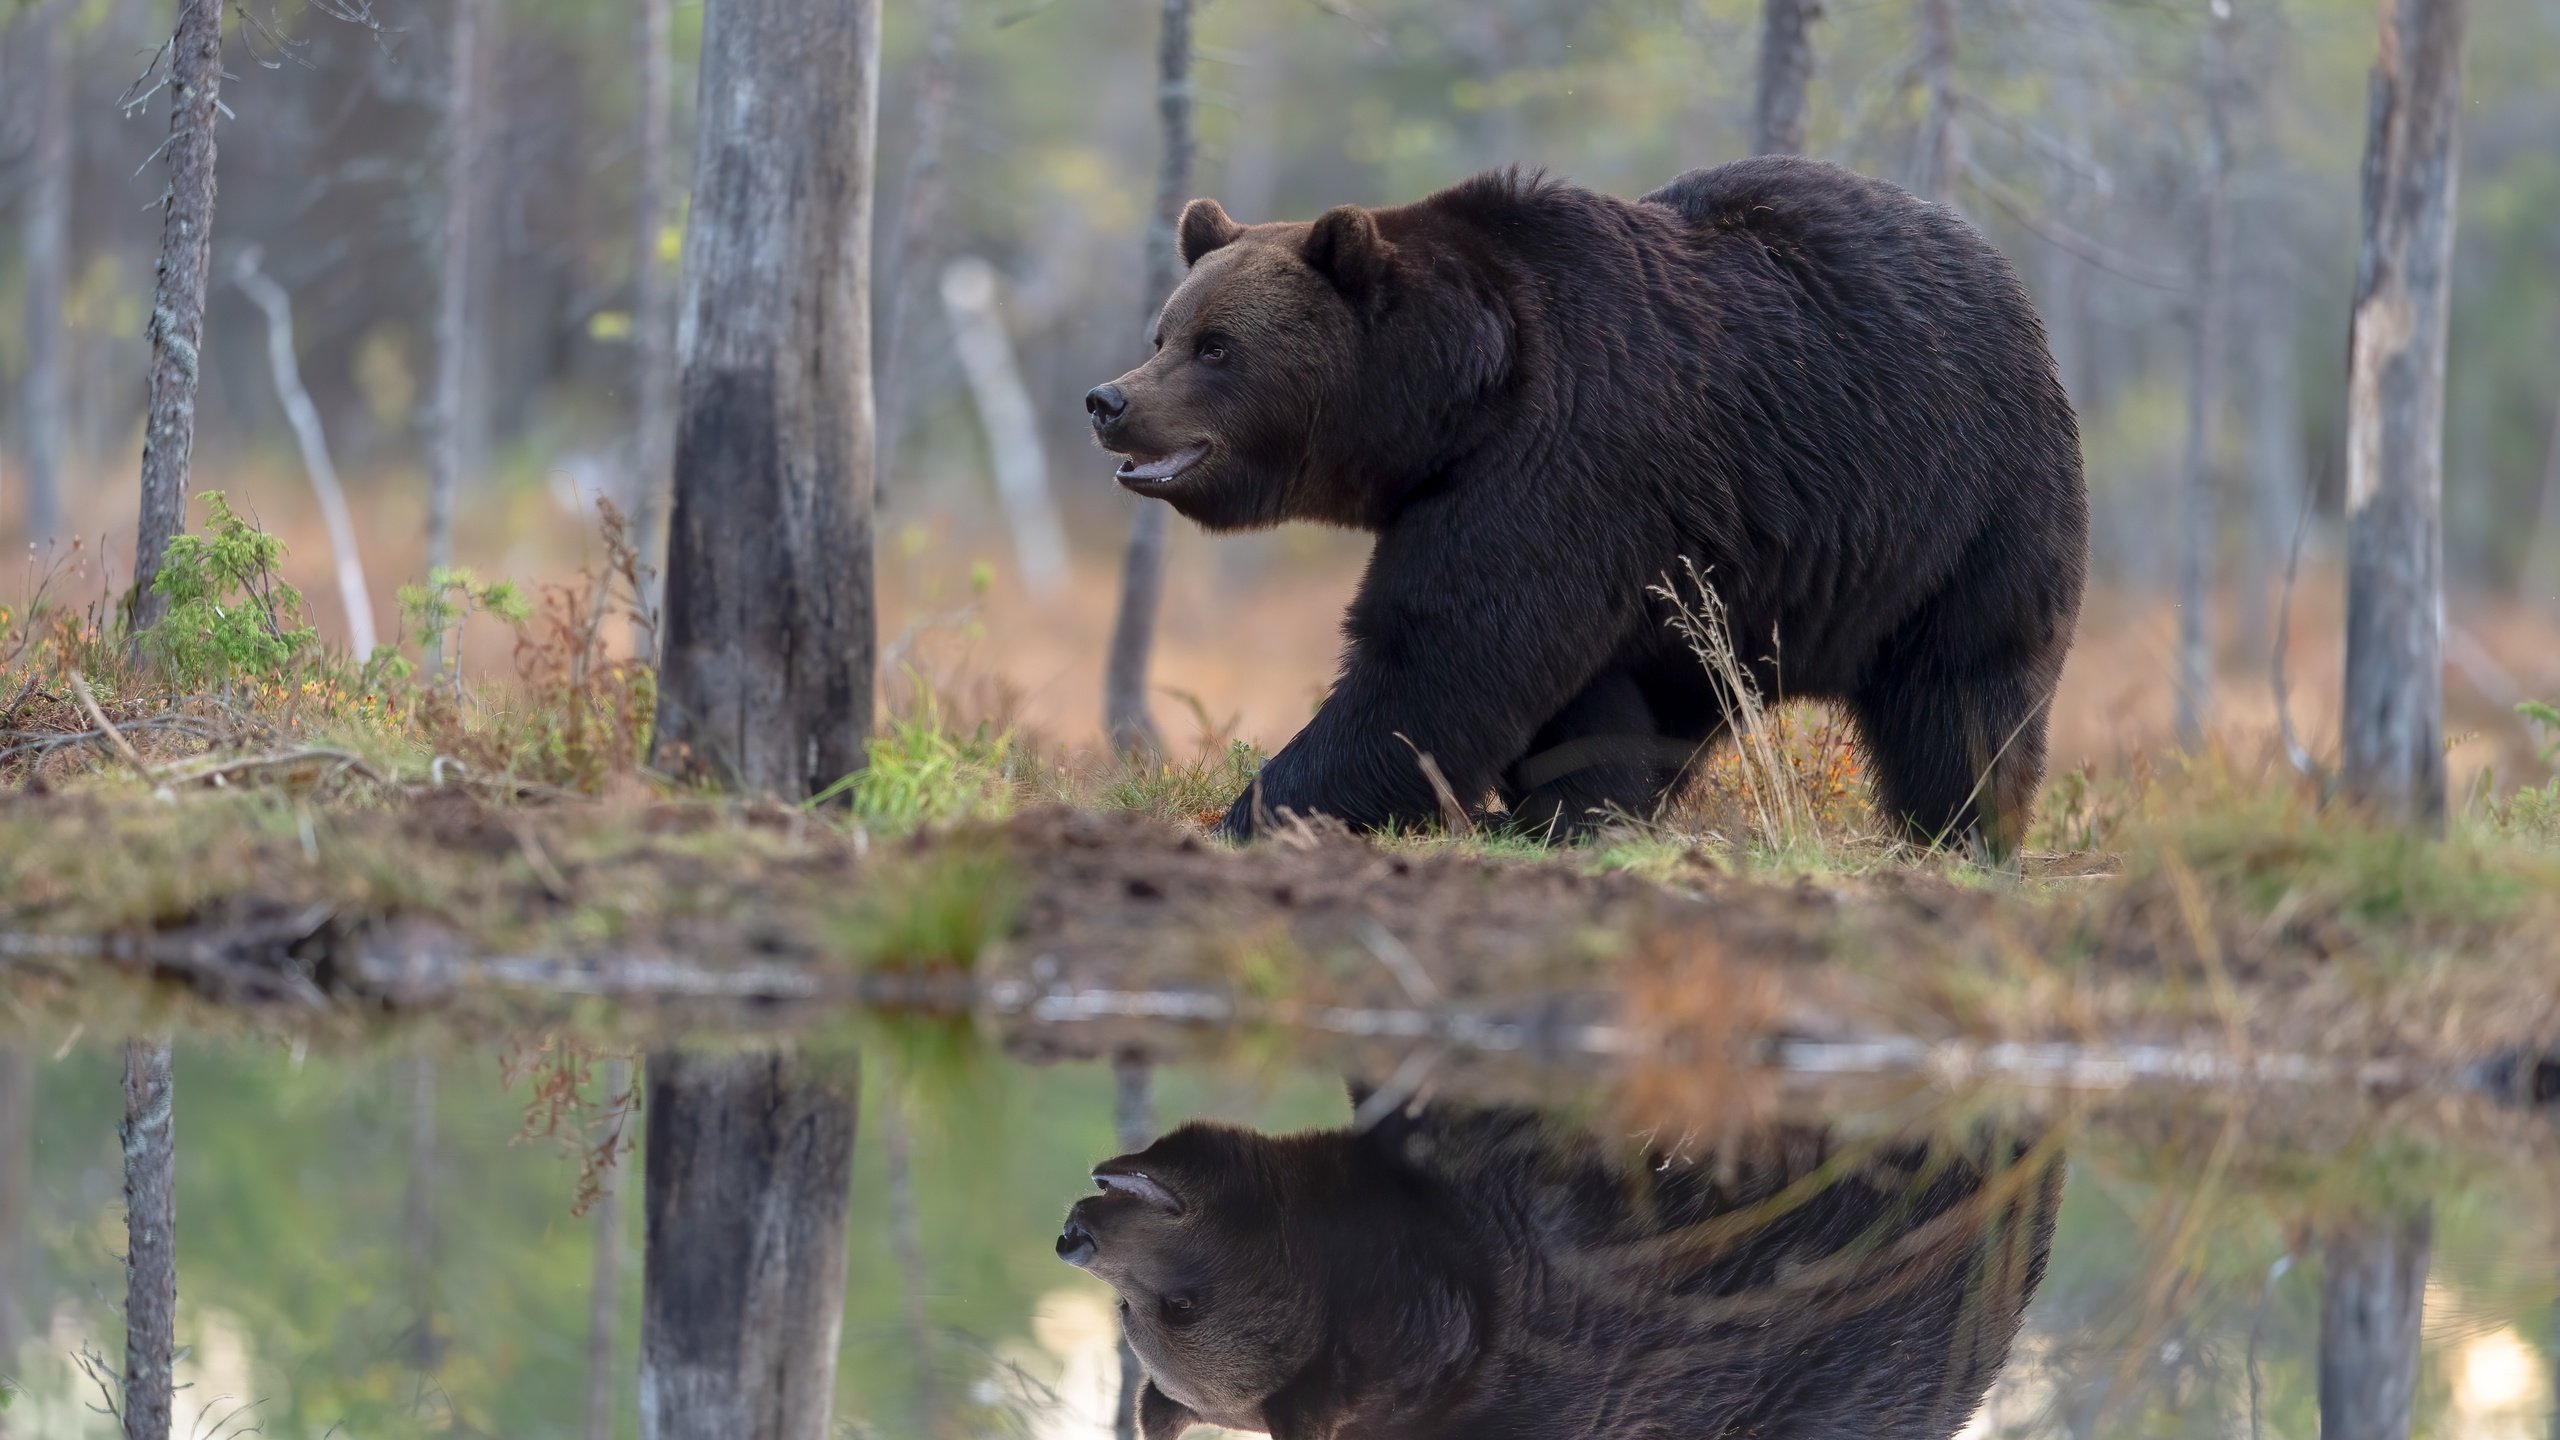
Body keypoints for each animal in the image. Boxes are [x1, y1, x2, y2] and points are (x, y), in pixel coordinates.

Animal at [1090, 156, 2088, 850]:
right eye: (1165, 332)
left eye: (1218, 347)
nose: (1110, 400)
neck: (1455, 402)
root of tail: (2006, 278)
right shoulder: (1578, 523)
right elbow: (1576, 699)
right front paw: (1566, 812)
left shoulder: (1561, 462)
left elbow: (1440, 660)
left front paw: (1257, 810)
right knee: (1685, 702)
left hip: (1965, 505)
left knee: (1963, 690)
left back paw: (1962, 831)